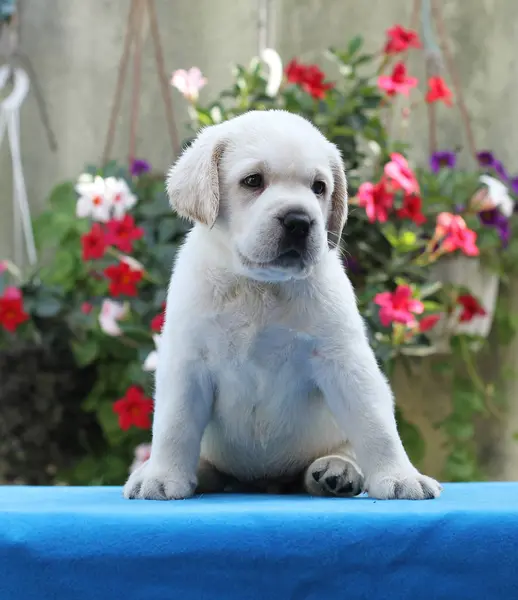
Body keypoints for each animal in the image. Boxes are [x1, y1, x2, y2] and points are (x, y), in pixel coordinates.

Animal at [125, 109, 442, 502]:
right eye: (252, 181)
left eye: (319, 187)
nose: (299, 221)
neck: (261, 287)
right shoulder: (188, 361)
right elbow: (174, 425)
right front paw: (162, 477)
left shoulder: (344, 360)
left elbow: (376, 425)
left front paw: (400, 477)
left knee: (346, 448)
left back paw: (336, 471)